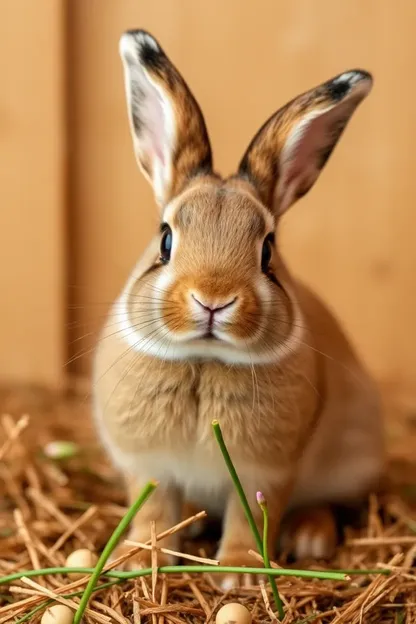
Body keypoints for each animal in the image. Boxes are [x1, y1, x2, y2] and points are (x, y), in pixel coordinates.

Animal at [92, 28, 386, 584]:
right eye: (165, 239)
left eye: (268, 251)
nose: (213, 299)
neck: (203, 359)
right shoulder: (150, 467)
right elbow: (152, 510)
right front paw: (138, 559)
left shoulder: (263, 471)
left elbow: (251, 515)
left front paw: (238, 572)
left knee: (329, 504)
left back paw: (310, 537)